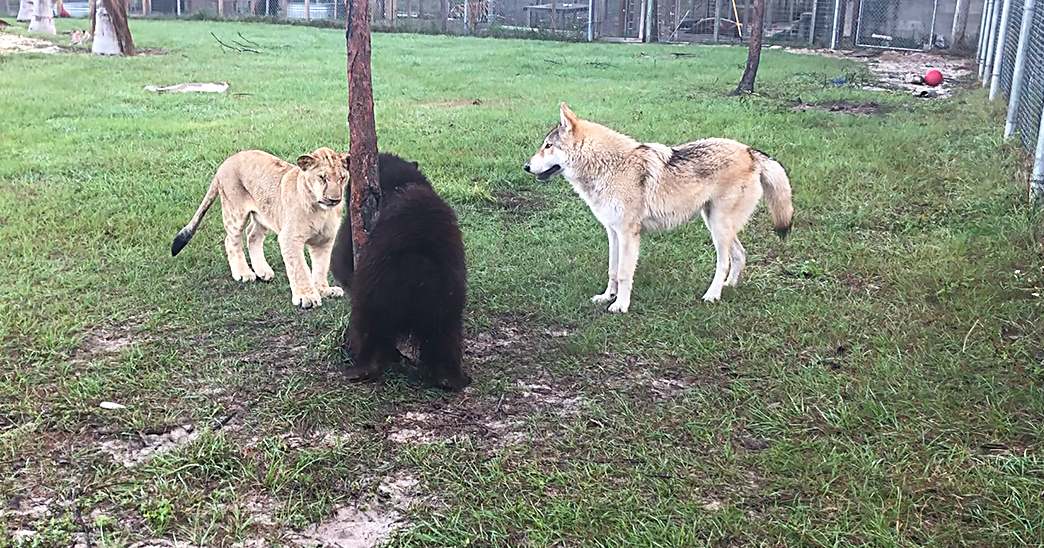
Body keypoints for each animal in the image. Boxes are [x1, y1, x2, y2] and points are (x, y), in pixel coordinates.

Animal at [171, 147, 349, 309]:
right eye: (322, 178)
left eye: (342, 178)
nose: (334, 199)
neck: (321, 211)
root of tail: (226, 161)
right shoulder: (289, 238)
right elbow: (299, 268)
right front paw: (307, 297)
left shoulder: (325, 240)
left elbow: (321, 267)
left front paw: (324, 290)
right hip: (234, 212)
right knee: (231, 240)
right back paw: (243, 273)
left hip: (264, 214)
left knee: (252, 235)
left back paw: (263, 271)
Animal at [524, 103, 793, 313]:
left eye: (547, 146)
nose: (526, 166)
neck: (609, 166)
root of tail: (750, 151)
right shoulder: (613, 232)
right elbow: (612, 270)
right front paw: (606, 297)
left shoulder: (628, 234)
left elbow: (624, 273)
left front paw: (620, 306)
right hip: (716, 224)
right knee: (739, 255)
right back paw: (729, 286)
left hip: (718, 227)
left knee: (724, 262)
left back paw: (712, 295)